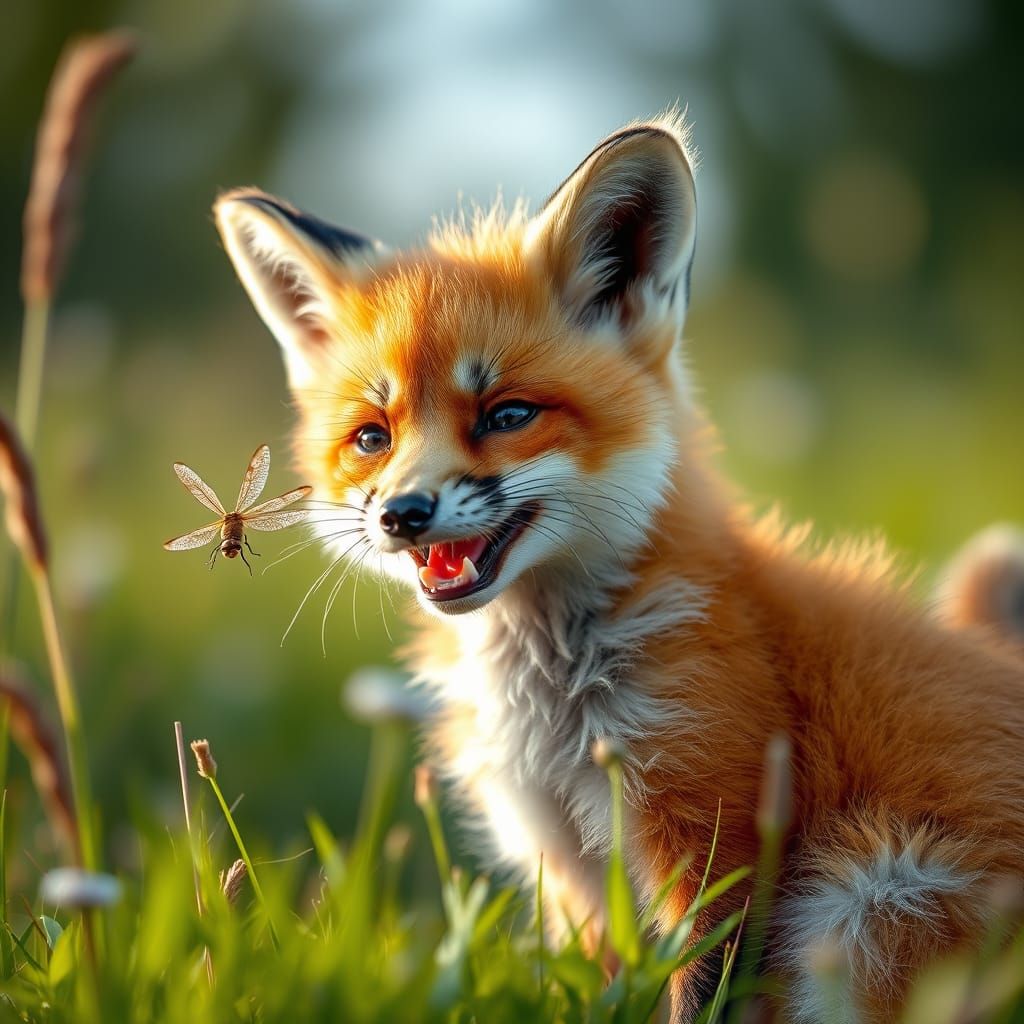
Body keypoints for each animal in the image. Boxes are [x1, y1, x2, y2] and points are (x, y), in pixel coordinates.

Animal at [212, 112, 1024, 1022]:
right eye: (372, 437)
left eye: (507, 416)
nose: (401, 514)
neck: (553, 707)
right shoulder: (566, 863)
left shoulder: (718, 832)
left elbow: (698, 994)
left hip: (862, 901)